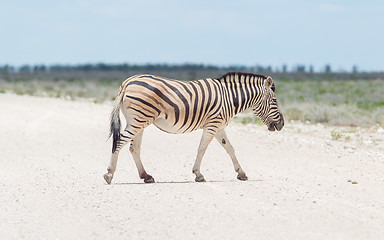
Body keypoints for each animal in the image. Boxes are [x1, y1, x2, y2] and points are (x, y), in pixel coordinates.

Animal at [103, 71, 284, 184]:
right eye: (275, 101)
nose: (282, 124)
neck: (229, 97)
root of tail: (126, 83)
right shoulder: (213, 124)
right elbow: (202, 149)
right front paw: (198, 174)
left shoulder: (219, 127)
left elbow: (230, 148)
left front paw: (241, 173)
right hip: (139, 119)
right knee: (120, 141)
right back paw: (109, 174)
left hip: (138, 120)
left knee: (134, 148)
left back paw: (146, 176)